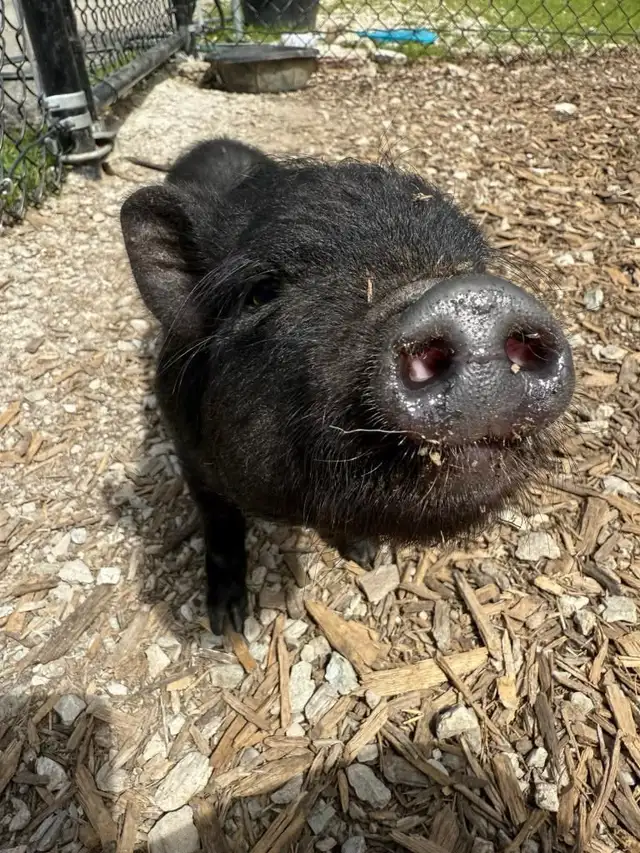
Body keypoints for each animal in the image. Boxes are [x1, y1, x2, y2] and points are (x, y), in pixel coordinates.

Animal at [120, 137, 575, 633]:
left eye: (472, 264)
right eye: (261, 292)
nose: (474, 299)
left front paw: (367, 554)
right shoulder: (188, 451)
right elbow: (220, 523)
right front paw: (227, 624)